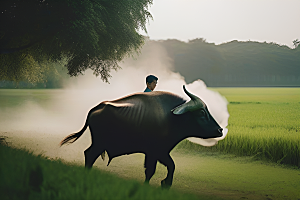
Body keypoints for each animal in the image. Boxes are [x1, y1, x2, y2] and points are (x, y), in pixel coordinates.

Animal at [61, 85, 224, 188]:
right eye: (202, 113)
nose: (220, 130)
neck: (171, 117)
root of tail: (96, 108)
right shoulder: (158, 151)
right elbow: (165, 167)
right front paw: (165, 184)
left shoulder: (156, 153)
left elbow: (155, 169)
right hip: (99, 143)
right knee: (89, 154)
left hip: (99, 144)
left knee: (88, 154)